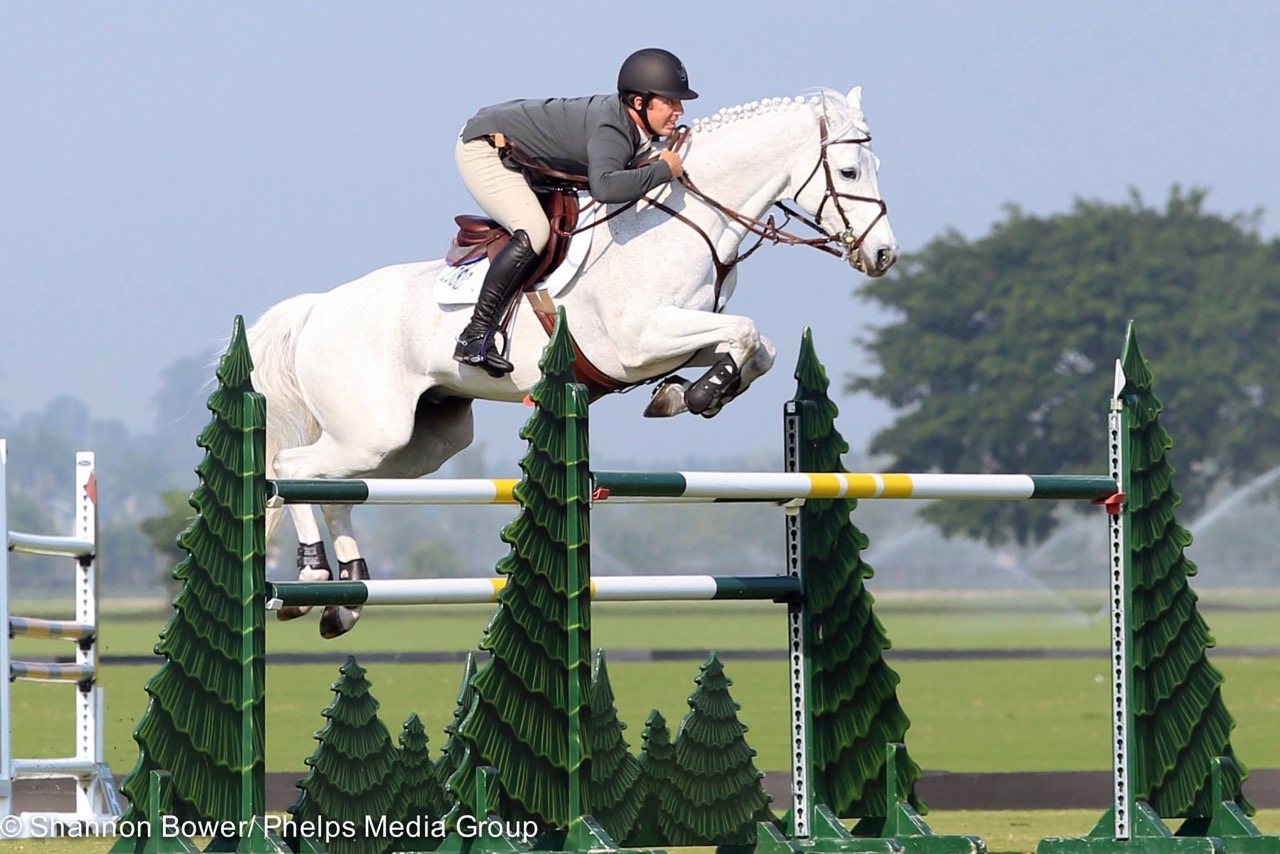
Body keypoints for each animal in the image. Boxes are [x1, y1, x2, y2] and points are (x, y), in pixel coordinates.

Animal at [247, 86, 898, 638]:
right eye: (847, 171)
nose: (883, 255)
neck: (684, 223)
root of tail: (316, 308)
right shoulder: (639, 341)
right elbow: (746, 333)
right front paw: (698, 393)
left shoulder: (679, 334)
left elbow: (757, 350)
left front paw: (689, 392)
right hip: (372, 429)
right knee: (292, 468)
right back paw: (312, 576)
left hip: (418, 444)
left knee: (336, 488)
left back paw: (345, 598)